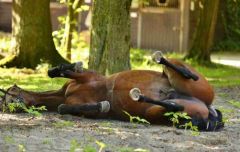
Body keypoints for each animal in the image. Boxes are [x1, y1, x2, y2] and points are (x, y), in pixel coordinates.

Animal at [0, 52, 224, 131]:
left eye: (11, 91)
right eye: (4, 103)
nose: (10, 105)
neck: (63, 93)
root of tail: (210, 110)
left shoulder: (87, 77)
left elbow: (63, 70)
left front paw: (65, 67)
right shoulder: (73, 104)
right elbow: (64, 108)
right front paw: (103, 105)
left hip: (191, 81)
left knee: (184, 72)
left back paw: (160, 59)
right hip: (159, 113)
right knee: (173, 106)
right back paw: (143, 96)